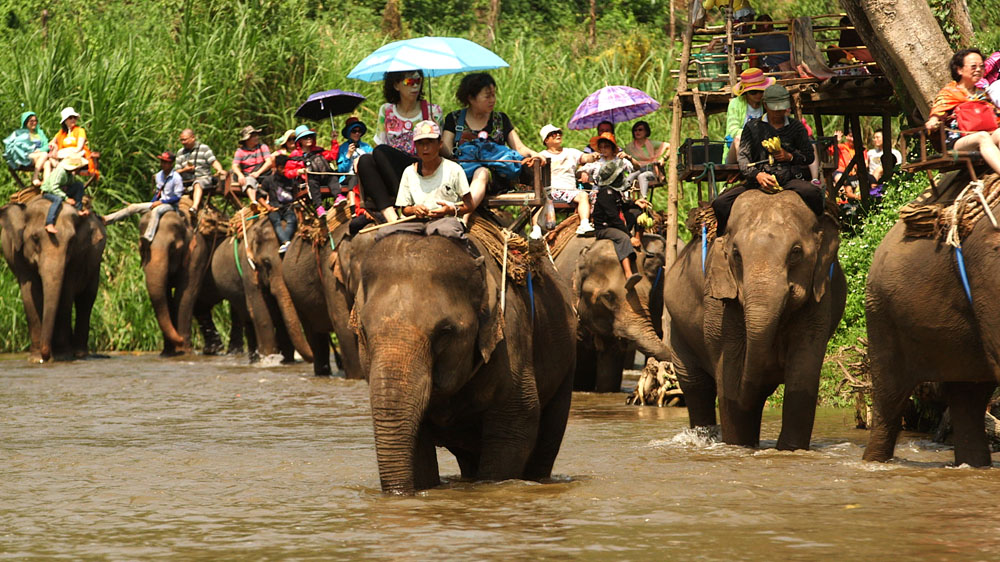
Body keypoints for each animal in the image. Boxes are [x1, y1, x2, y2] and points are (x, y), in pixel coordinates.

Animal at [0, 196, 106, 361]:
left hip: (95, 265)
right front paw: (37, 359)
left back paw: (79, 353)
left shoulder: (76, 257)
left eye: (72, 240)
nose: (46, 355)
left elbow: (66, 292)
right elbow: (30, 294)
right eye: (35, 238)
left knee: (86, 299)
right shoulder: (18, 254)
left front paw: (62, 356)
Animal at [355, 229, 576, 494]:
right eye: (363, 330)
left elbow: (516, 422)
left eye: (445, 332)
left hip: (566, 365)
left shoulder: (511, 337)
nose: (400, 495)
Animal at [664, 190, 845, 450]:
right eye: (736, 255)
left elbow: (802, 380)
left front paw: (790, 450)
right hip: (678, 330)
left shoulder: (820, 298)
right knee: (696, 386)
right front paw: (738, 446)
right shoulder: (718, 305)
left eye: (796, 252)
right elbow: (729, 380)